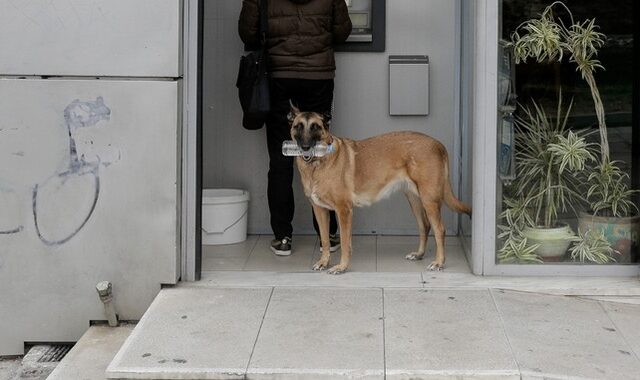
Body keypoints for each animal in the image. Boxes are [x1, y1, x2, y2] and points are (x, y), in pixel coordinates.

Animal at [288, 105, 470, 274]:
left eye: (315, 127)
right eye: (298, 126)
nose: (305, 147)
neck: (317, 164)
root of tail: (438, 144)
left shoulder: (344, 210)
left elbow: (345, 243)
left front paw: (341, 267)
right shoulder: (320, 210)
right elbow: (325, 240)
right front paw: (324, 262)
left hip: (429, 200)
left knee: (439, 229)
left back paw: (439, 262)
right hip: (415, 199)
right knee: (424, 225)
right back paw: (419, 254)